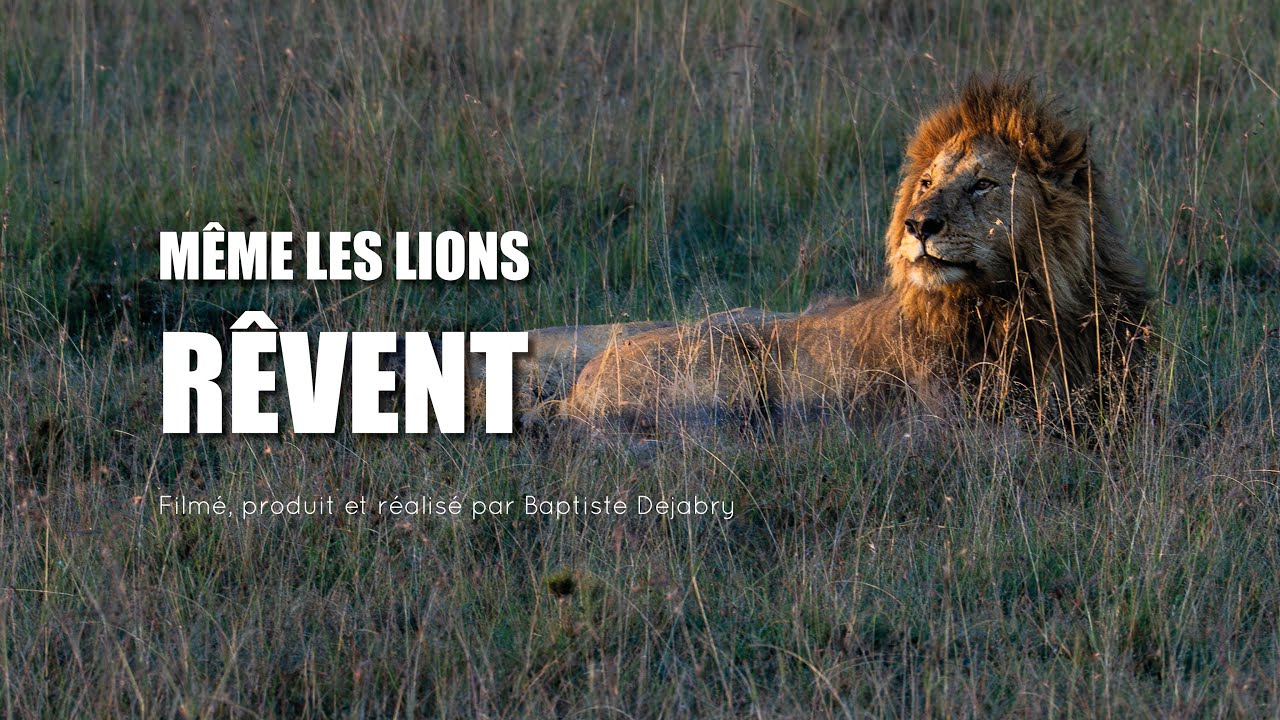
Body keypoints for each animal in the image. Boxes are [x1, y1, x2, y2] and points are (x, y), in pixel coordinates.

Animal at [507, 78, 1150, 434]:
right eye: (926, 183)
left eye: (983, 185)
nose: (919, 224)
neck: (1021, 307)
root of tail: (577, 388)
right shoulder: (945, 423)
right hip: (727, 362)